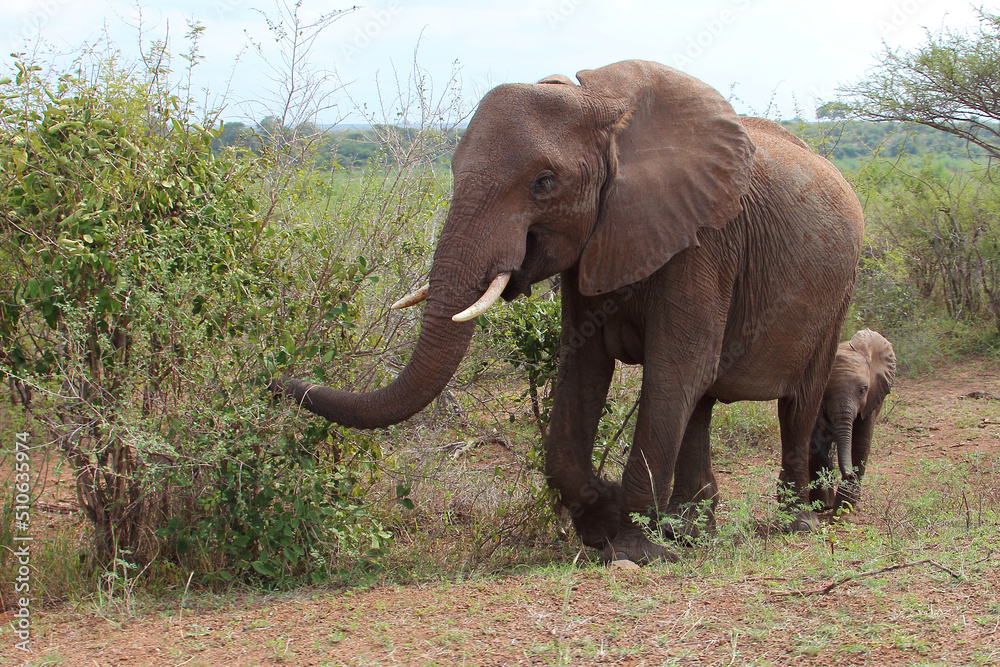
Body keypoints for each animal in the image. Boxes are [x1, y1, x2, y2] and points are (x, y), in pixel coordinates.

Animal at [271, 60, 865, 564]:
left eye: (544, 182)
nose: (275, 384)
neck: (603, 108)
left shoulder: (704, 241)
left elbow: (675, 371)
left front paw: (633, 548)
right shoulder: (600, 242)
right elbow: (583, 367)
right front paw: (602, 520)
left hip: (838, 290)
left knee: (795, 400)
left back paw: (793, 525)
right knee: (702, 402)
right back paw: (694, 534)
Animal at [808, 329, 896, 512]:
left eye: (863, 390)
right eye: (824, 392)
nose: (849, 474)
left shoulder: (871, 400)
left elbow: (860, 443)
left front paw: (845, 508)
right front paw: (821, 507)